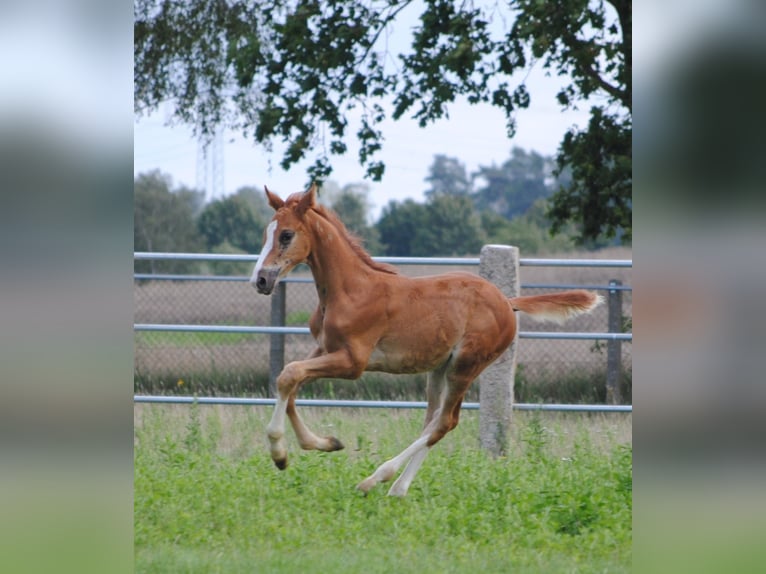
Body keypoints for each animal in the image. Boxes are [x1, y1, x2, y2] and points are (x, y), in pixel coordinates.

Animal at [249, 186, 604, 500]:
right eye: (266, 233)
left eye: (286, 235)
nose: (261, 280)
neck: (349, 290)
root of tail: (507, 301)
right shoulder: (323, 348)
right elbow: (289, 381)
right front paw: (323, 444)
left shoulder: (353, 362)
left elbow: (290, 374)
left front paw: (280, 452)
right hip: (439, 369)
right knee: (433, 422)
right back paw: (398, 489)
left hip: (465, 365)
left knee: (444, 422)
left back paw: (376, 479)